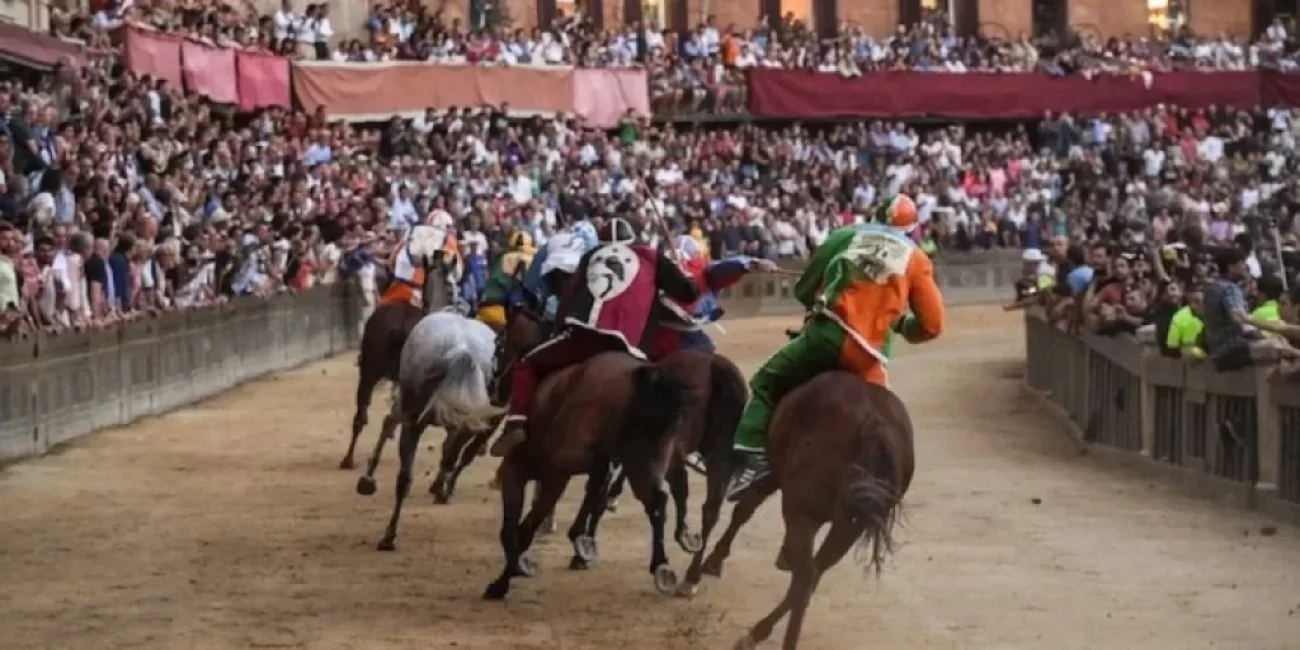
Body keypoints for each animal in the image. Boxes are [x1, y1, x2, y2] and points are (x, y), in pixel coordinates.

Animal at [358, 306, 504, 551]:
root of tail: (461, 347)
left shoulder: (408, 410)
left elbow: (388, 423)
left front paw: (367, 479)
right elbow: (449, 453)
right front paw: (439, 487)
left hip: (413, 419)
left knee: (404, 477)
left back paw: (389, 535)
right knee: (450, 457)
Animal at [486, 353, 691, 600]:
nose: (493, 387)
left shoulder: (520, 471)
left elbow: (512, 531)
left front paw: (502, 582)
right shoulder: (551, 482)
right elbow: (524, 529)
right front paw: (513, 571)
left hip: (573, 452)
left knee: (603, 475)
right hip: (644, 462)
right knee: (656, 501)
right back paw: (660, 565)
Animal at [702, 371, 915, 650]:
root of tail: (874, 424)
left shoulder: (776, 476)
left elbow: (744, 508)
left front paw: (712, 561)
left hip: (803, 512)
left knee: (804, 577)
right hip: (850, 526)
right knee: (813, 575)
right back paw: (757, 632)